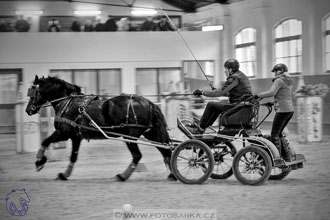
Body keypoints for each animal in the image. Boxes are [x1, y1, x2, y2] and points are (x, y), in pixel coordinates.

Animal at [26, 75, 177, 181]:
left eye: (33, 92)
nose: (28, 110)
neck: (67, 103)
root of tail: (148, 103)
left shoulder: (63, 133)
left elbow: (45, 141)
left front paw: (39, 161)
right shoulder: (76, 137)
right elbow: (73, 156)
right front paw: (64, 174)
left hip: (131, 136)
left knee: (137, 156)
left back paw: (123, 176)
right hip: (151, 133)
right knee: (165, 150)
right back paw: (172, 174)